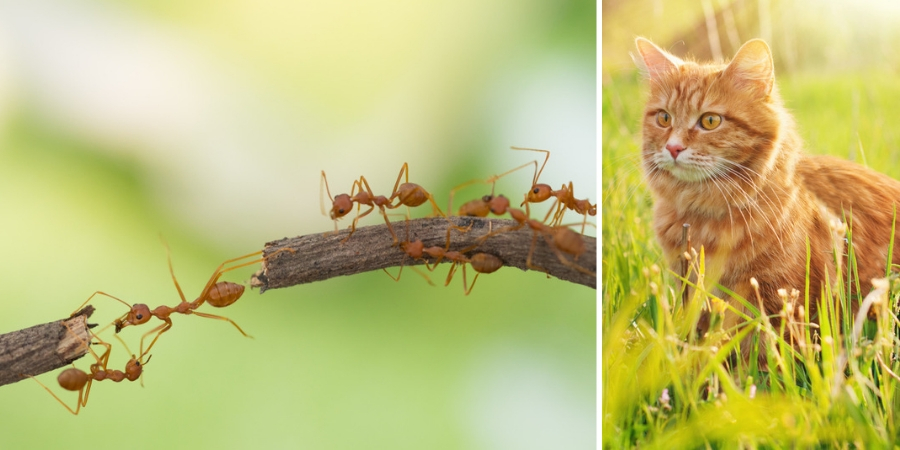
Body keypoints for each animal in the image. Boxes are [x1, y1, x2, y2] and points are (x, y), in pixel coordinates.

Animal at [636, 37, 900, 348]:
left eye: (710, 121)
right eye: (664, 118)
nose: (673, 147)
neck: (704, 213)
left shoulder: (782, 297)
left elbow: (765, 348)